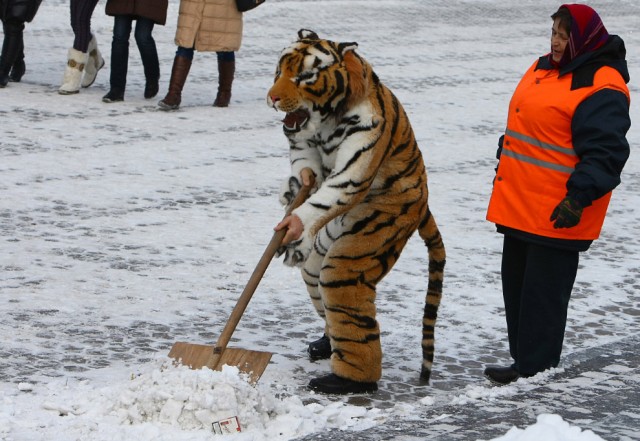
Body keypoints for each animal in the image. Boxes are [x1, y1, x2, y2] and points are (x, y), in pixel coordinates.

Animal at [267, 29, 446, 393]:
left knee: (342, 291)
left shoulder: (358, 156)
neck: (326, 120)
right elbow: (306, 165)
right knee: (316, 278)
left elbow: (333, 190)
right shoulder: (303, 142)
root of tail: (423, 204)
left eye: (305, 76)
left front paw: (293, 224)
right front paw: (296, 186)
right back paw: (325, 344)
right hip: (325, 246)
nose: (272, 98)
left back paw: (348, 380)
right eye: (279, 70)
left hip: (364, 242)